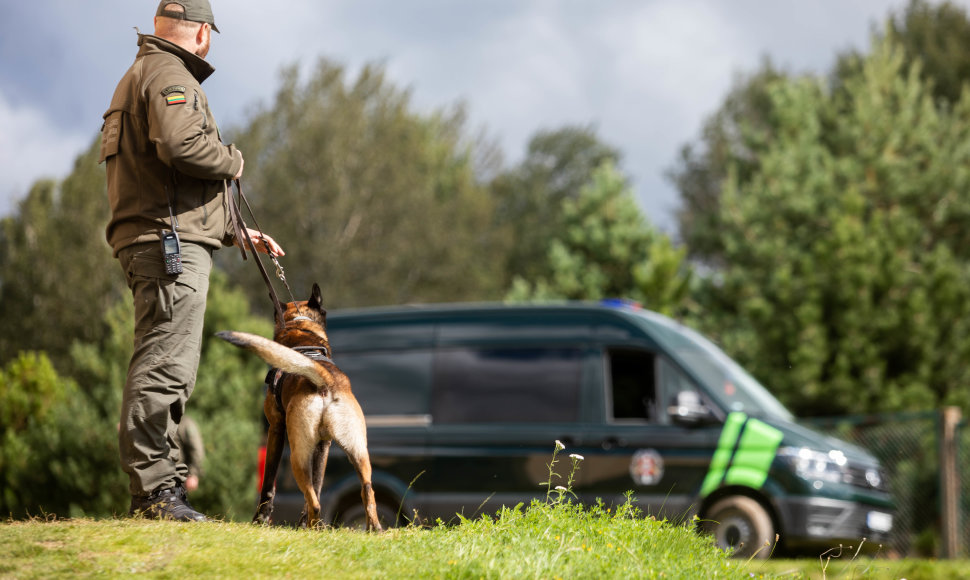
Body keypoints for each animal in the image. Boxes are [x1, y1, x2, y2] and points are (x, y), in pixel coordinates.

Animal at [216, 284, 382, 532]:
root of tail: (325, 380)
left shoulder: (275, 429)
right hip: (359, 451)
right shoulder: (324, 444)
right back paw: (370, 528)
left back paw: (313, 525)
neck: (300, 327)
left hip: (297, 456)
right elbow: (318, 483)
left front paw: (260, 519)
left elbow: (268, 485)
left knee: (314, 501)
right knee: (365, 490)